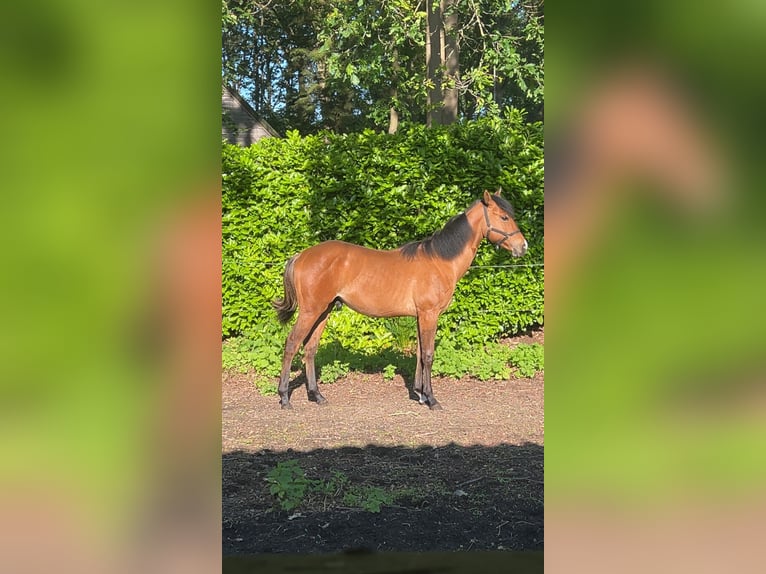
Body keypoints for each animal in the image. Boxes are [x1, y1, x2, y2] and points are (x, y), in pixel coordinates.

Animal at [271, 190, 528, 410]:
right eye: (504, 217)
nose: (523, 246)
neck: (440, 260)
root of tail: (301, 255)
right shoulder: (429, 314)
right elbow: (428, 354)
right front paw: (432, 399)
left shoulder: (420, 316)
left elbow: (419, 353)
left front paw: (421, 394)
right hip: (310, 311)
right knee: (291, 344)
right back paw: (284, 397)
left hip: (323, 312)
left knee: (310, 349)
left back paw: (317, 395)